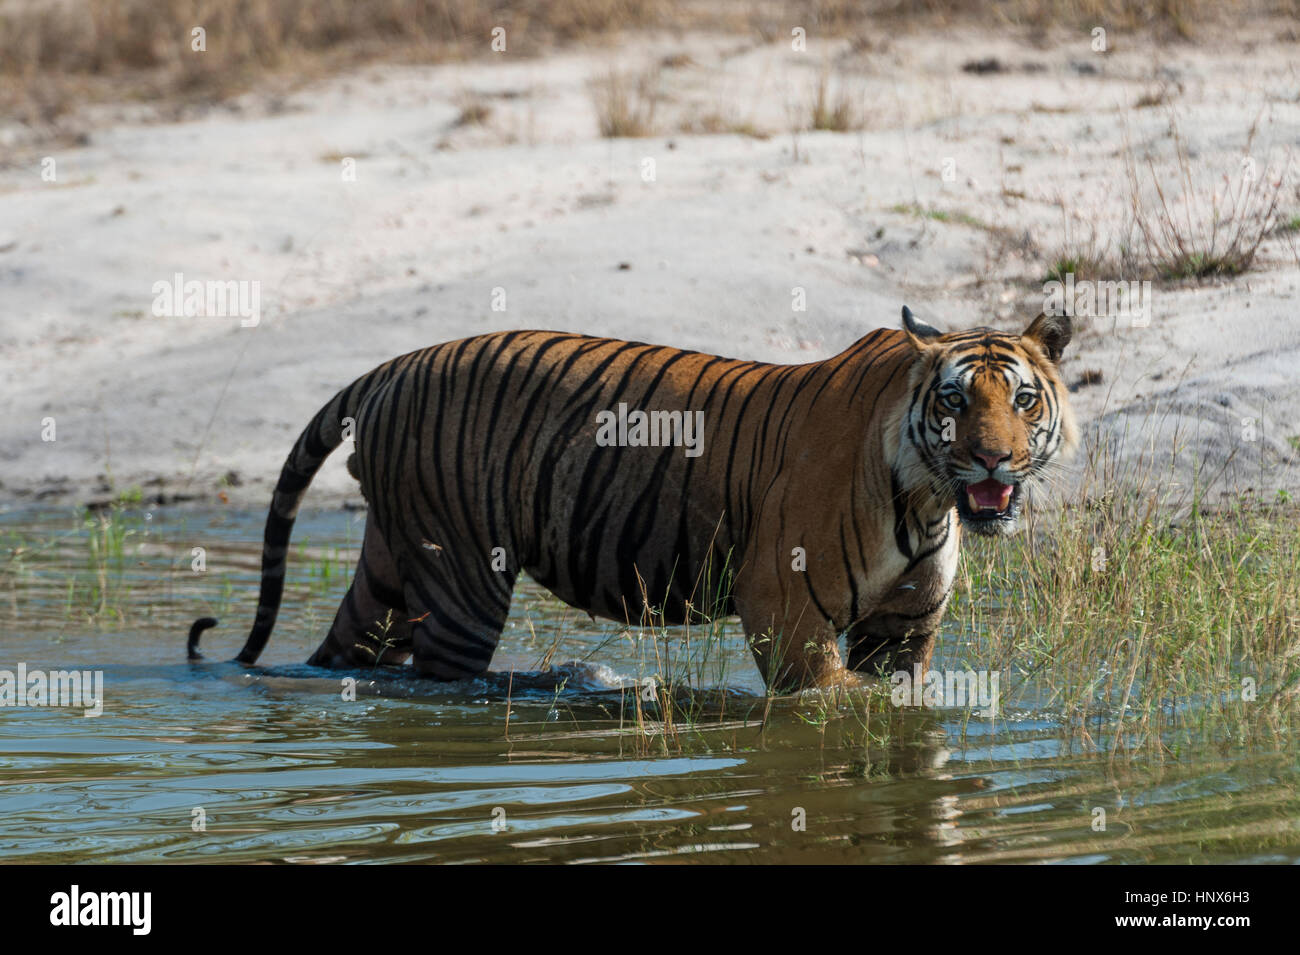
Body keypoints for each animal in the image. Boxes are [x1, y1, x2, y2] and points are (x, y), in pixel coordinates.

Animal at [183, 310, 1076, 691]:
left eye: (1022, 399)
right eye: (955, 402)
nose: (993, 456)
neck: (924, 496)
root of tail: (389, 366)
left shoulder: (903, 629)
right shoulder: (782, 604)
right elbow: (830, 700)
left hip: (390, 569)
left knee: (346, 650)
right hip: (462, 571)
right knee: (439, 674)